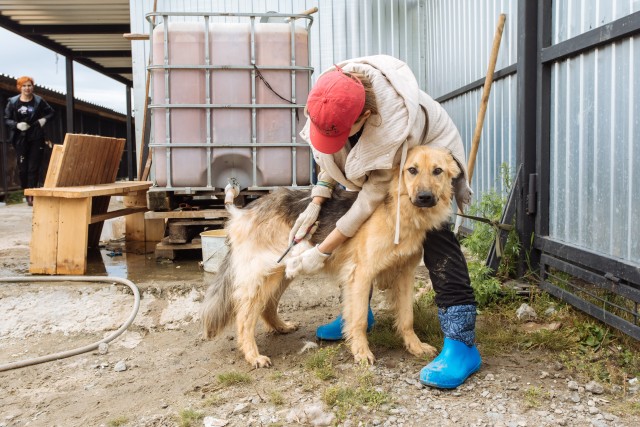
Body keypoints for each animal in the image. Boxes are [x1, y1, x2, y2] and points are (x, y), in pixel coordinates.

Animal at [202, 146, 458, 368]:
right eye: (412, 170)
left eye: (437, 171)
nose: (424, 197)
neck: (397, 211)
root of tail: (243, 212)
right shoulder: (361, 275)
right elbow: (359, 319)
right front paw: (361, 352)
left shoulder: (404, 275)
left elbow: (406, 318)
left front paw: (415, 347)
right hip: (266, 274)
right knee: (245, 316)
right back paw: (253, 355)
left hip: (284, 271)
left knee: (267, 305)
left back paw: (281, 326)